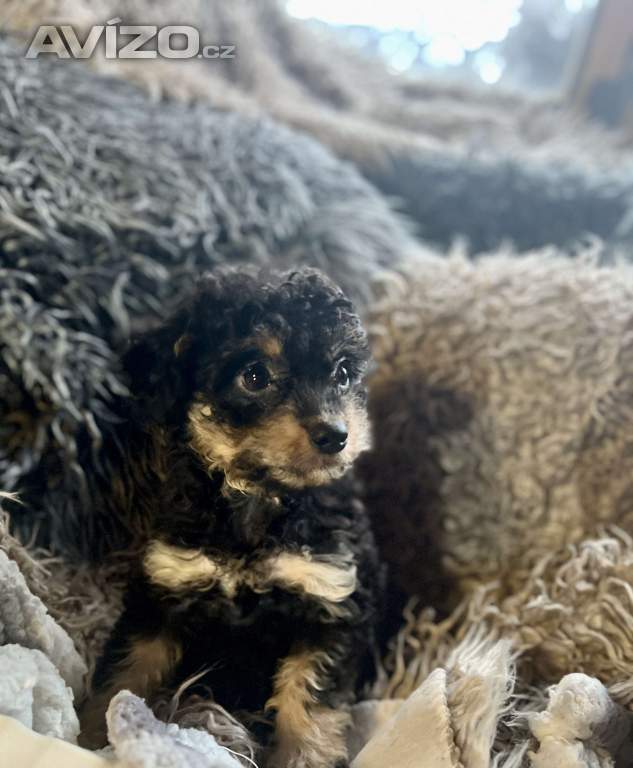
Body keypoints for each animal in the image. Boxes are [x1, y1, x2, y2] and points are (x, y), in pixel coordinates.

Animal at [80, 267, 384, 768]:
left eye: (342, 373)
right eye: (254, 376)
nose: (335, 435)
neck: (259, 499)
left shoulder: (330, 600)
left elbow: (307, 700)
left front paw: (301, 756)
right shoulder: (164, 590)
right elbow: (125, 672)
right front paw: (90, 734)